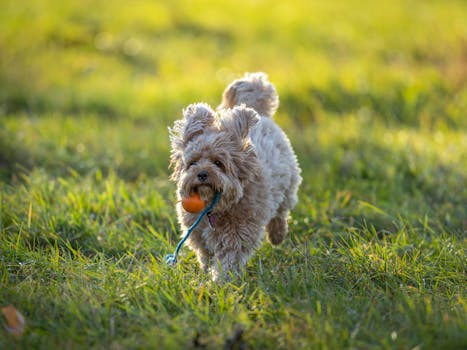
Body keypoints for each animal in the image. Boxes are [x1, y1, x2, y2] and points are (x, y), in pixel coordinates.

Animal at [170, 72, 302, 282]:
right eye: (192, 163)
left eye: (218, 163)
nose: (202, 173)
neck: (214, 208)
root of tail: (258, 111)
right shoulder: (197, 233)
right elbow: (205, 254)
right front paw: (206, 272)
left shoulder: (238, 233)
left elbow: (229, 259)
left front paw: (221, 282)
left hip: (288, 183)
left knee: (281, 212)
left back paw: (277, 235)